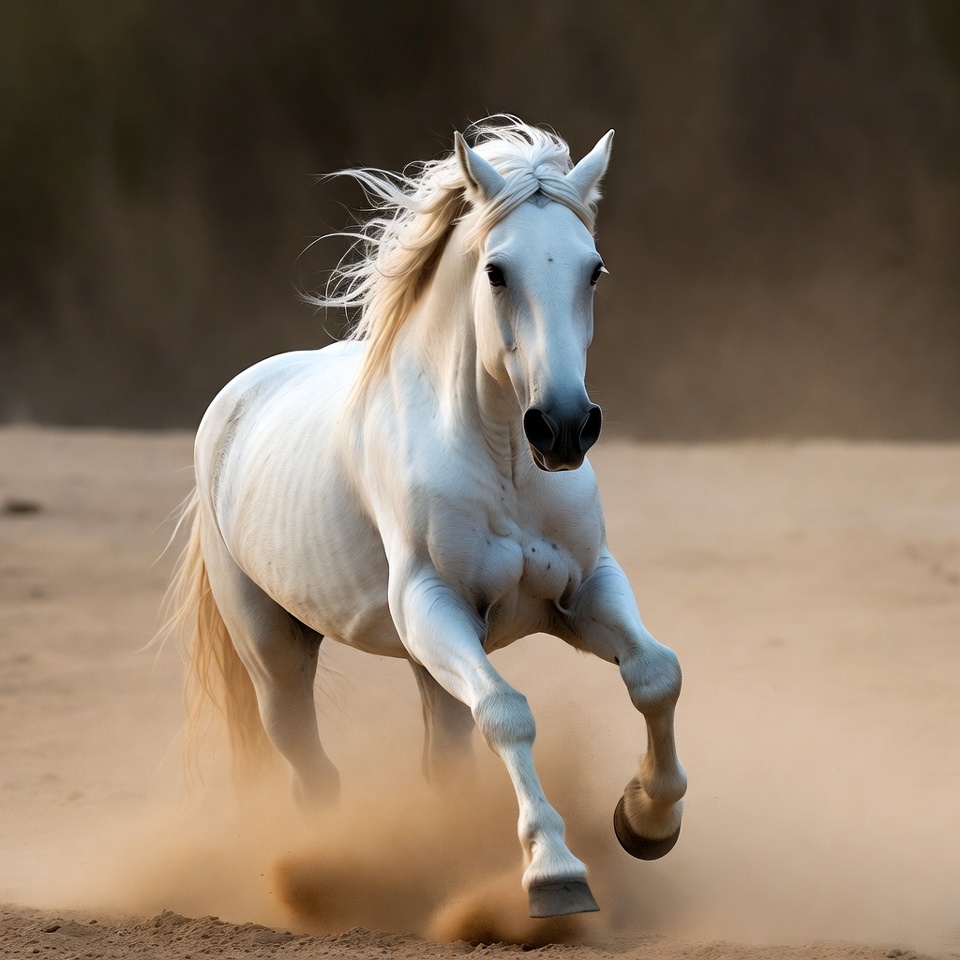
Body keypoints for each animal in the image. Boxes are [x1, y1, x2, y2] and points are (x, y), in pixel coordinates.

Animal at [170, 118, 687, 920]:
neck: (505, 461)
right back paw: (322, 878)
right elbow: (508, 712)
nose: (564, 428)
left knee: (439, 765)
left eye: (593, 270)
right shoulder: (432, 605)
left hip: (428, 660)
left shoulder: (586, 591)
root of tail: (234, 402)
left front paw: (645, 819)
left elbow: (657, 675)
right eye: (497, 272)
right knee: (310, 772)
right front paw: (555, 872)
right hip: (278, 654)